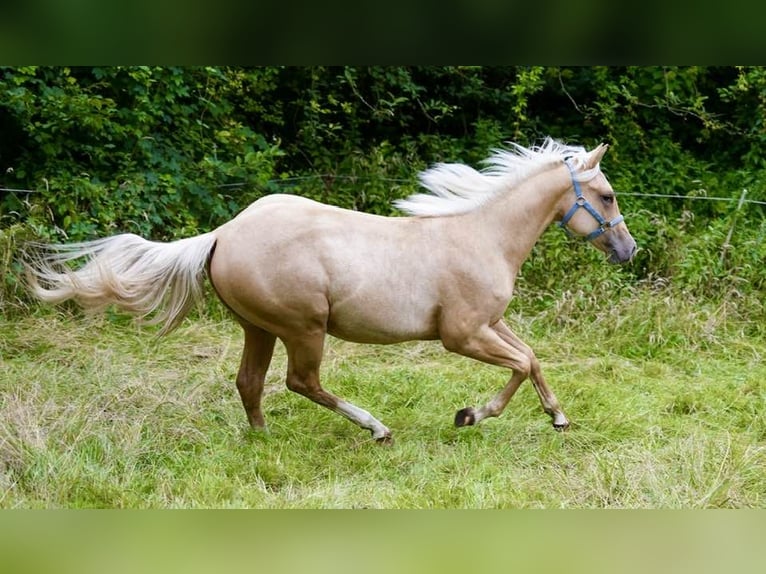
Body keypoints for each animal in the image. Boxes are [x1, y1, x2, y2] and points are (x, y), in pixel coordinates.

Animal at [25, 137, 636, 443]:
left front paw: (557, 417)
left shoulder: (490, 323)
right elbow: (519, 364)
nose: (628, 250)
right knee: (302, 382)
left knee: (250, 382)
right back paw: (376, 428)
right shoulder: (461, 334)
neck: (482, 235)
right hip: (303, 328)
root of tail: (223, 233)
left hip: (258, 327)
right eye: (606, 196)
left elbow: (531, 358)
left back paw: (263, 439)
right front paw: (471, 415)